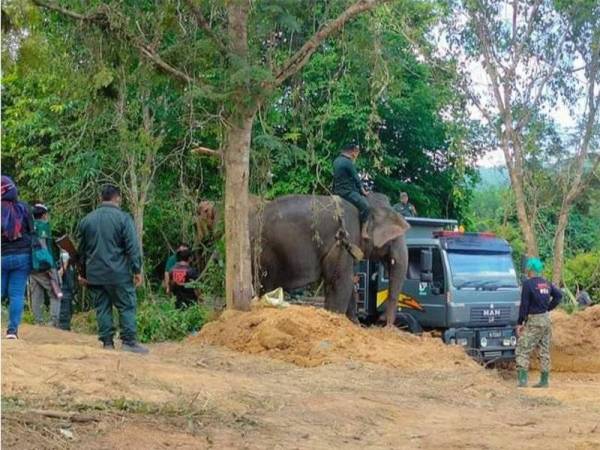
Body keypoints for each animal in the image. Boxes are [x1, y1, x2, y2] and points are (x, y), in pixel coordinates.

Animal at [251, 193, 410, 326]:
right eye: (393, 238)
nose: (384, 323)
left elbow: (348, 284)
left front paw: (354, 324)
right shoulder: (343, 239)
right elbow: (342, 282)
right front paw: (338, 319)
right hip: (266, 252)